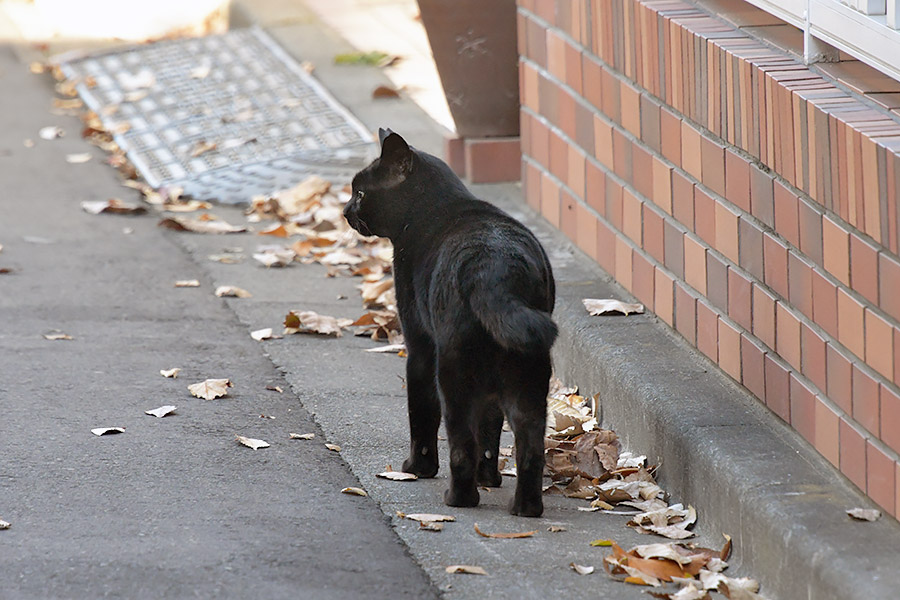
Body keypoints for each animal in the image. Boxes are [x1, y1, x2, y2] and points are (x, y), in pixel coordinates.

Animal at [342, 130, 556, 516]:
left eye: (361, 192)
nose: (346, 210)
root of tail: (494, 269)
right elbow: (490, 430)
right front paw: (490, 479)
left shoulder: (419, 347)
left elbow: (421, 415)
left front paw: (417, 468)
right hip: (530, 381)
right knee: (529, 448)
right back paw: (525, 508)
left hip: (454, 375)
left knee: (461, 444)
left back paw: (459, 498)